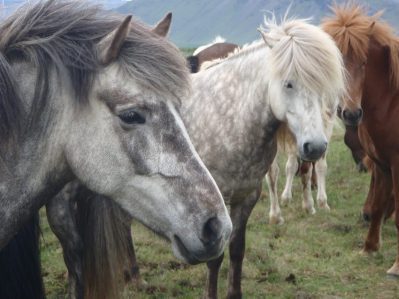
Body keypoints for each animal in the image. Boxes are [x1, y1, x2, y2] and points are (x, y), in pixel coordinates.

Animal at [324, 3, 399, 278]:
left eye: (365, 62)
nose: (352, 114)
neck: (392, 102)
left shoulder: (397, 165)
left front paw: (397, 265)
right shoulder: (382, 165)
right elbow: (378, 205)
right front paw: (369, 247)